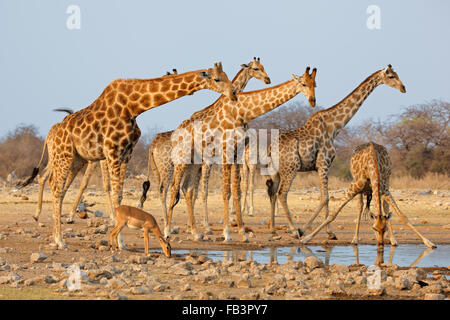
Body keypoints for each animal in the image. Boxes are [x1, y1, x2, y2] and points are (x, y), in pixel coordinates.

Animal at [18, 61, 236, 249]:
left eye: (227, 76)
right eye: (217, 79)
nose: (233, 93)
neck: (134, 106)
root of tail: (50, 136)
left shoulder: (126, 154)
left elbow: (120, 195)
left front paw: (120, 241)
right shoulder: (112, 152)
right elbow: (115, 195)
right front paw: (120, 243)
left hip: (76, 160)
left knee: (59, 188)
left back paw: (56, 237)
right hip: (63, 157)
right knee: (55, 188)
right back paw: (60, 240)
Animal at [137, 57, 270, 234]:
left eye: (263, 67)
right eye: (256, 68)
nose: (268, 79)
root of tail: (152, 146)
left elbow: (195, 191)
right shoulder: (209, 162)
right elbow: (202, 191)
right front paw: (206, 226)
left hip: (158, 168)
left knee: (163, 189)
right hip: (168, 167)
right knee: (165, 190)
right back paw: (168, 225)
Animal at [164, 67, 316, 242]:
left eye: (315, 84)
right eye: (303, 83)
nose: (313, 100)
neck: (241, 111)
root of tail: (176, 132)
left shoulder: (238, 155)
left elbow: (236, 191)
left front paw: (243, 233)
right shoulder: (226, 152)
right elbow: (226, 191)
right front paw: (227, 233)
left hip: (195, 162)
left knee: (188, 189)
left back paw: (196, 233)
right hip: (182, 159)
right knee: (175, 188)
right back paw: (168, 232)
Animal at [266, 63, 406, 239]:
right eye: (391, 76)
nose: (403, 88)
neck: (334, 127)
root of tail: (270, 148)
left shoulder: (322, 166)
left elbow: (324, 196)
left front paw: (329, 232)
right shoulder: (323, 163)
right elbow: (325, 197)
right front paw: (309, 230)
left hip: (275, 171)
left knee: (272, 193)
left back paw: (273, 231)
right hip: (291, 168)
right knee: (282, 194)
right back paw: (293, 230)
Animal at [298, 141, 436, 249]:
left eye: (384, 229)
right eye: (374, 228)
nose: (380, 244)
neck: (372, 167)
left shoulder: (384, 190)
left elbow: (402, 216)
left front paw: (429, 242)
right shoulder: (353, 187)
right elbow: (333, 214)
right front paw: (305, 238)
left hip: (385, 184)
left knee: (384, 207)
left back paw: (393, 240)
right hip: (359, 188)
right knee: (360, 206)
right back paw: (355, 239)